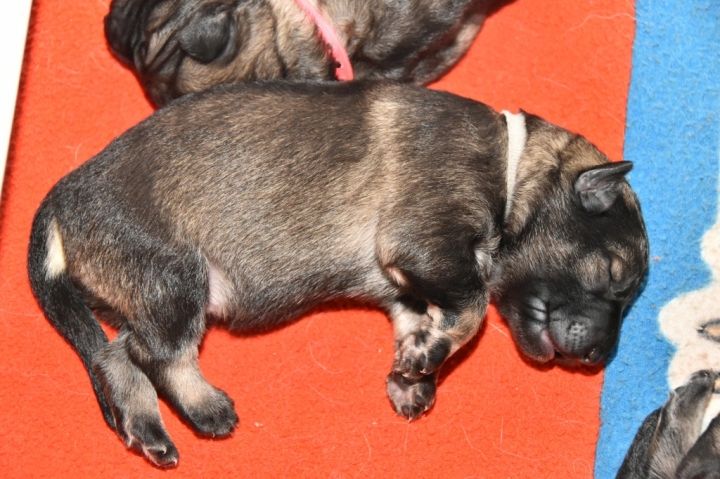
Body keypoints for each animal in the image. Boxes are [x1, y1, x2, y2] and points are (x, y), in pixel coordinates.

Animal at [28, 81, 648, 467]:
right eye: (613, 275)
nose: (600, 358)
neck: (512, 168)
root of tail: (62, 198)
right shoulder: (424, 240)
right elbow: (471, 306)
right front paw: (428, 356)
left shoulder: (408, 285)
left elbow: (428, 319)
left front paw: (415, 370)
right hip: (176, 278)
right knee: (158, 354)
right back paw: (203, 407)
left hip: (148, 292)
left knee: (115, 353)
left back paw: (145, 425)